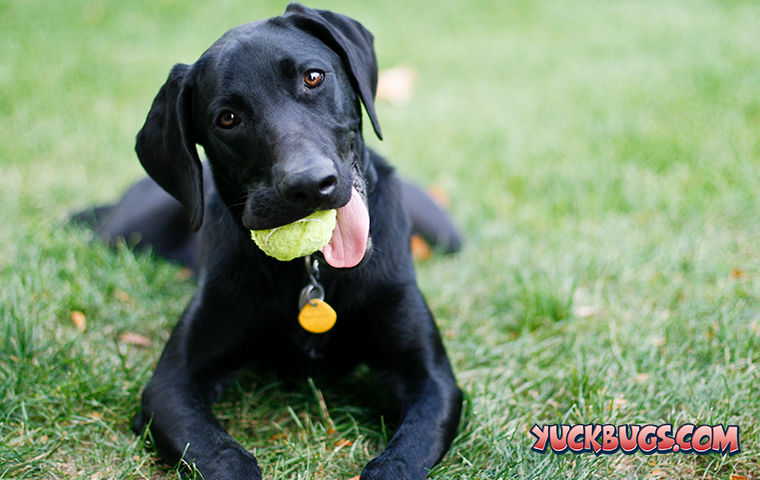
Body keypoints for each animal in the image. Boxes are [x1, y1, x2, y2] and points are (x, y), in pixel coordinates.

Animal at [83, 4, 464, 480]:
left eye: (313, 77)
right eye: (227, 118)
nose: (310, 185)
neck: (313, 269)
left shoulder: (431, 379)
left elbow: (401, 458)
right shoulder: (170, 386)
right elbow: (224, 455)